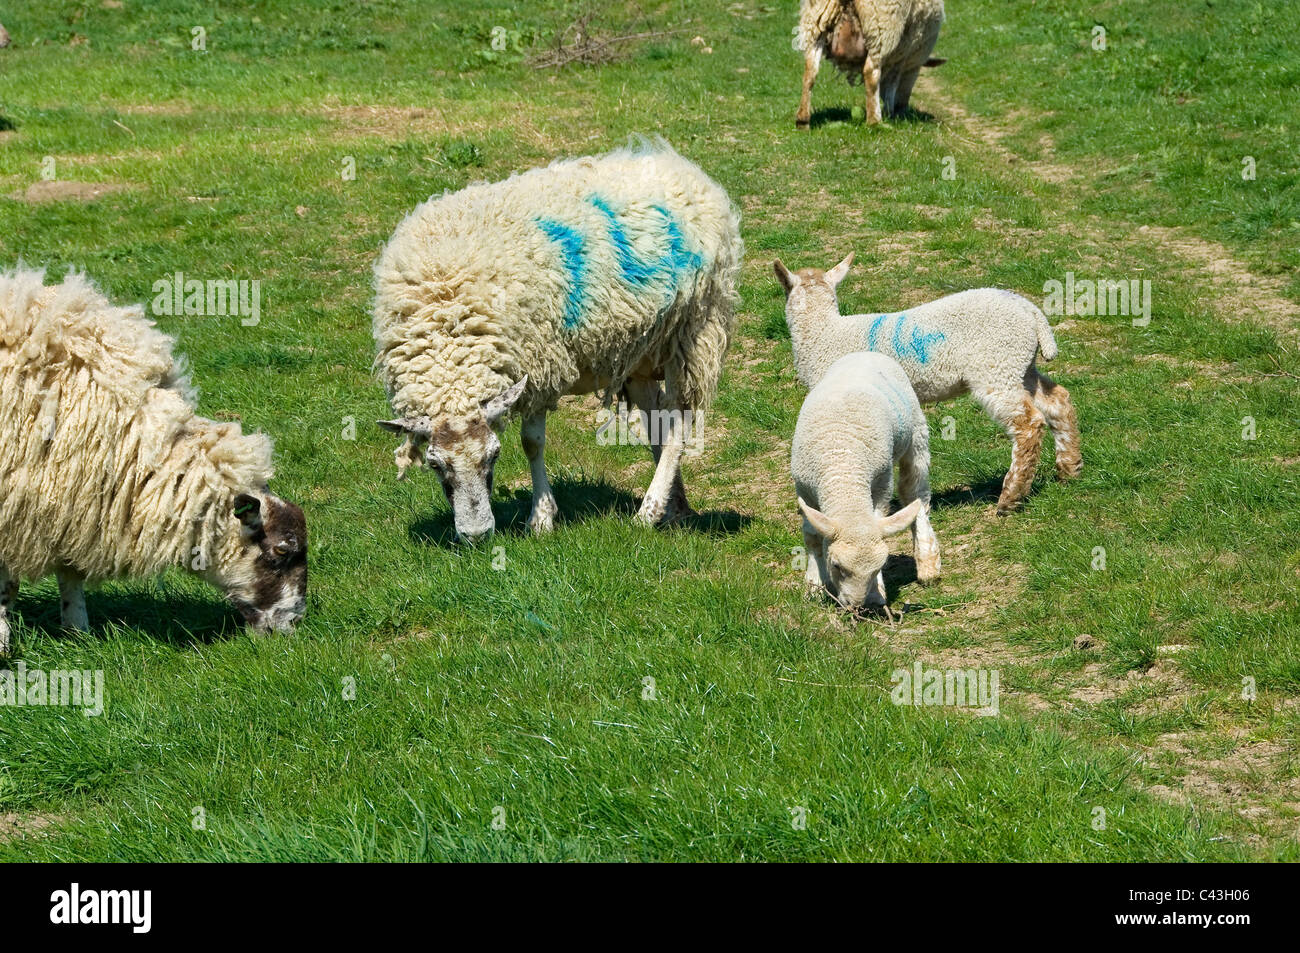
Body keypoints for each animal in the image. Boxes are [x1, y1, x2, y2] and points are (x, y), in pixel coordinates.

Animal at [0, 268, 307, 653]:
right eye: (281, 552)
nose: (294, 625)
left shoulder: (68, 502)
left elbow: (71, 573)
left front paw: (78, 632)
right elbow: (7, 587)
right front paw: (3, 644)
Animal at [373, 138, 743, 542]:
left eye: (493, 455)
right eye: (436, 466)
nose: (477, 535)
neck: (446, 314)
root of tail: (684, 170)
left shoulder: (539, 365)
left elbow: (531, 442)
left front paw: (541, 518)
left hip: (693, 332)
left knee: (678, 423)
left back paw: (648, 512)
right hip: (643, 348)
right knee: (656, 418)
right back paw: (674, 507)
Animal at [774, 253, 1082, 514]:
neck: (823, 335)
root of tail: (1032, 313)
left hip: (995, 366)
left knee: (1028, 423)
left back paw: (1011, 497)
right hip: (1020, 367)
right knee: (1058, 401)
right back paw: (1069, 470)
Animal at [792, 350, 939, 610]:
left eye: (878, 568)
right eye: (837, 566)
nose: (857, 606)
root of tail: (866, 353)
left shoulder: (881, 484)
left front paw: (876, 593)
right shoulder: (805, 490)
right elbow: (812, 537)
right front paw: (814, 586)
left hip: (917, 434)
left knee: (916, 493)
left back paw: (927, 561)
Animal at [794, 0, 946, 127]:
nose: (902, 111)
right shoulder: (901, 55)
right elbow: (892, 84)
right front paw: (890, 113)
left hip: (817, 20)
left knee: (810, 72)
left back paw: (802, 120)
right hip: (881, 26)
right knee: (871, 73)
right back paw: (874, 121)